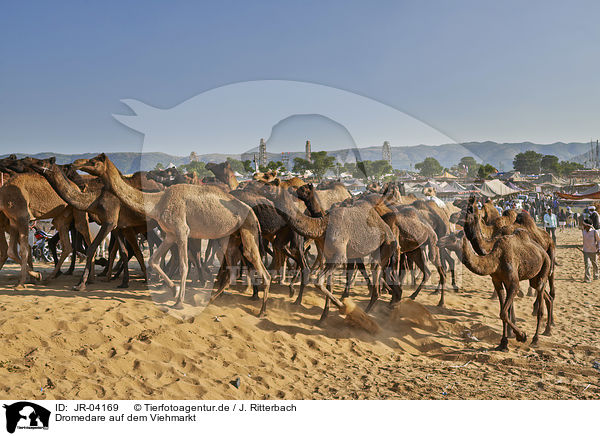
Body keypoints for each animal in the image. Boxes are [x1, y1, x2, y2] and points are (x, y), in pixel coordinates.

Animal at [75, 152, 272, 314]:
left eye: (93, 161)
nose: (76, 162)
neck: (157, 202)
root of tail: (253, 214)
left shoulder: (182, 231)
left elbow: (184, 265)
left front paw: (179, 302)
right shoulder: (170, 234)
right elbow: (154, 261)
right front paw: (174, 290)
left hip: (248, 232)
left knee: (259, 266)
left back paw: (262, 311)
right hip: (227, 237)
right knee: (230, 268)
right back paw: (212, 300)